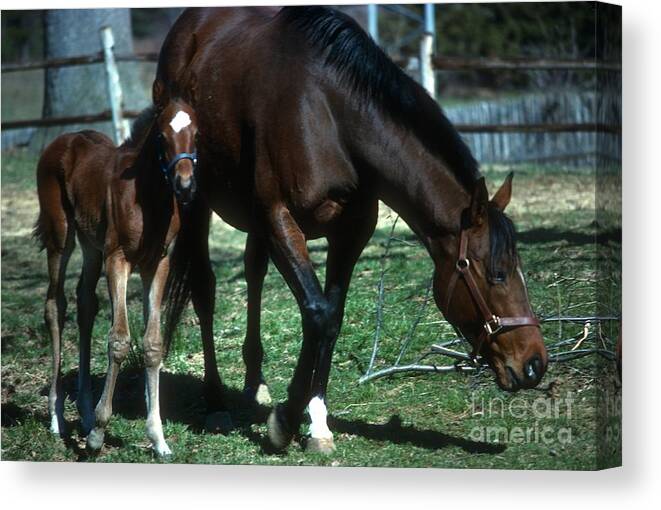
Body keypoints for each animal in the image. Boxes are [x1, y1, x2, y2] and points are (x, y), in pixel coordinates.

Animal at [34, 98, 199, 454]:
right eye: (162, 136)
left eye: (197, 134)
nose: (185, 185)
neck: (148, 197)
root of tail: (64, 139)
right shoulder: (118, 260)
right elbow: (119, 340)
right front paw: (98, 434)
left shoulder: (158, 264)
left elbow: (152, 343)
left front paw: (158, 439)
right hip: (60, 235)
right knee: (55, 304)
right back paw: (57, 418)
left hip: (91, 245)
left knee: (85, 303)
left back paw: (83, 413)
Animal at [156, 5, 548, 452]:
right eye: (497, 274)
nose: (535, 363)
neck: (331, 118)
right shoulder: (280, 220)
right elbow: (318, 313)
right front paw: (285, 423)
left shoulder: (349, 234)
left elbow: (332, 317)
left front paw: (317, 422)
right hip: (194, 197)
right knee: (204, 289)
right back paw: (215, 399)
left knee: (254, 271)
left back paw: (255, 382)